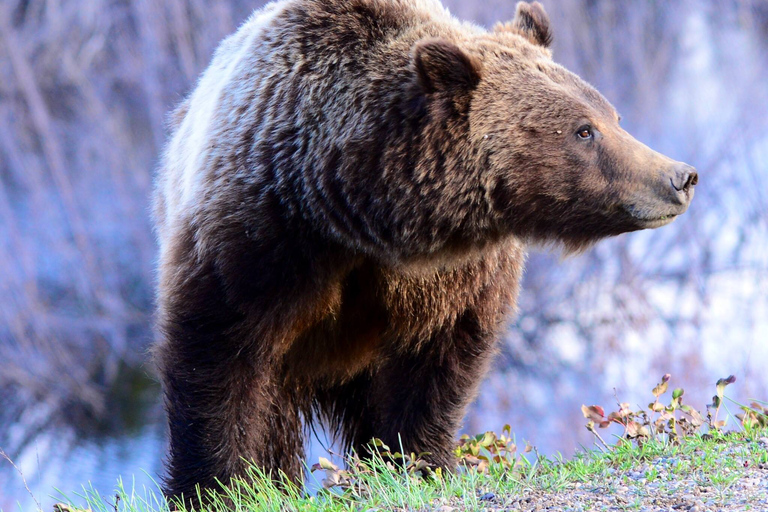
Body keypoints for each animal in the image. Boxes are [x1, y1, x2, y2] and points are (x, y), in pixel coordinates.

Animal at [150, 0, 696, 504]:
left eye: (613, 116)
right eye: (584, 130)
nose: (680, 176)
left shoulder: (450, 277)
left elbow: (438, 364)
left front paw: (419, 463)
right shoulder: (263, 237)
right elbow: (218, 356)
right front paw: (218, 488)